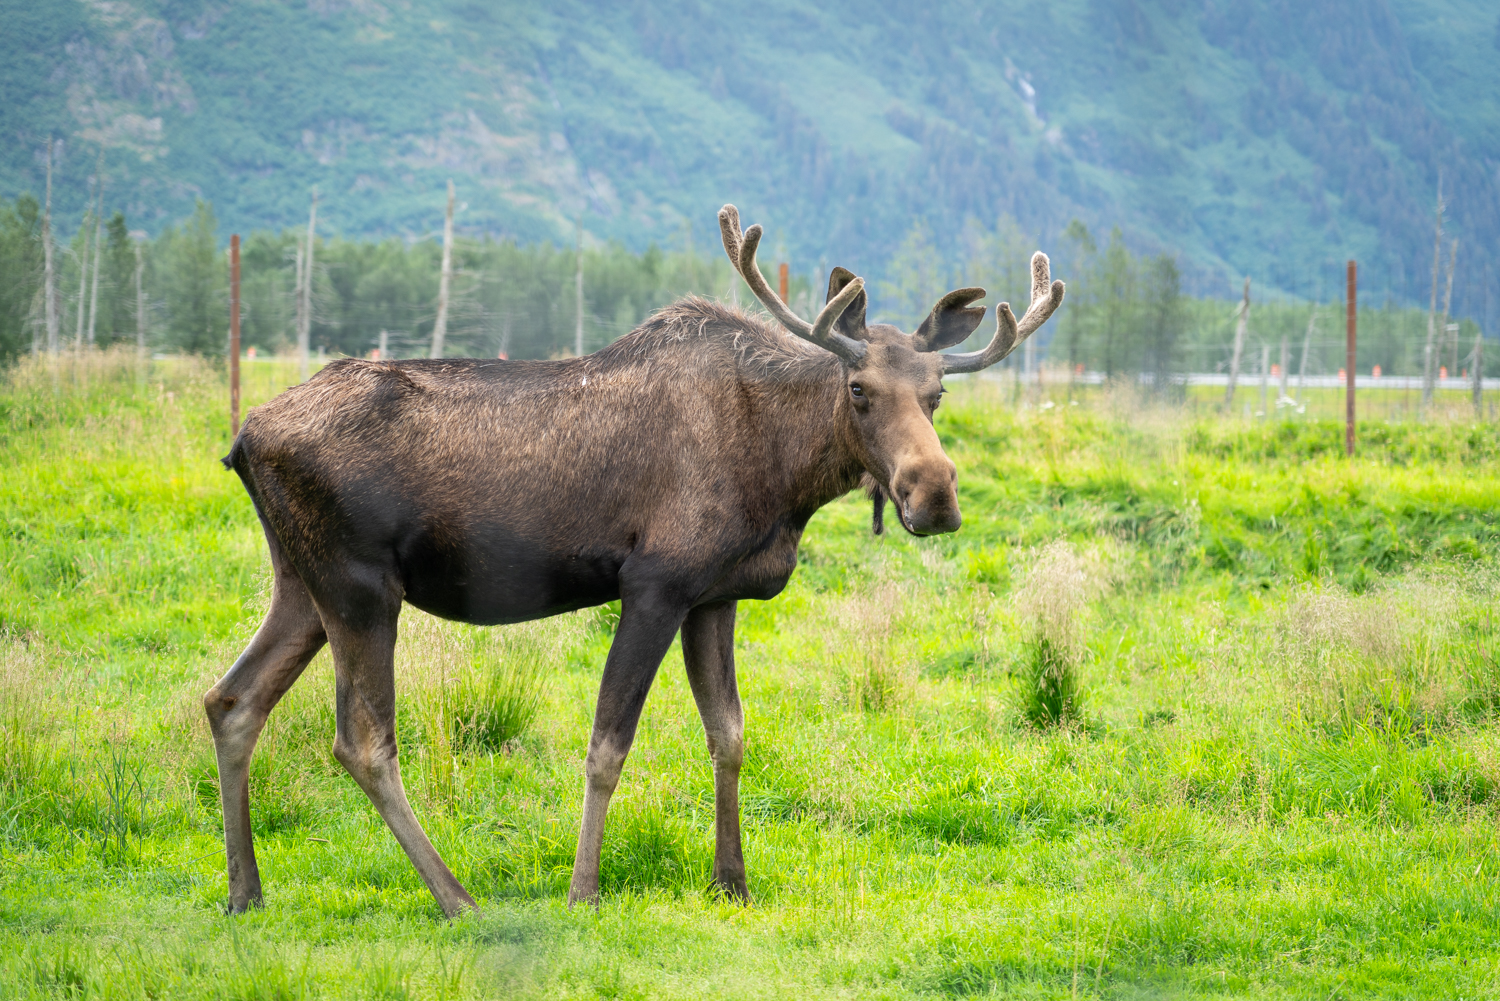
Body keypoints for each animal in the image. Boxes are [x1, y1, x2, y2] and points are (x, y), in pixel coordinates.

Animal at [208, 205, 1068, 918]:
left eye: (937, 394)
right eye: (858, 387)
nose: (934, 495)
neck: (784, 480)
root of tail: (244, 436)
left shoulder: (715, 595)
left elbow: (730, 733)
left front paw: (732, 880)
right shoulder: (655, 583)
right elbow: (607, 744)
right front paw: (583, 889)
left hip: (301, 583)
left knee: (231, 700)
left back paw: (246, 890)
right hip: (358, 584)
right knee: (362, 738)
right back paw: (456, 898)